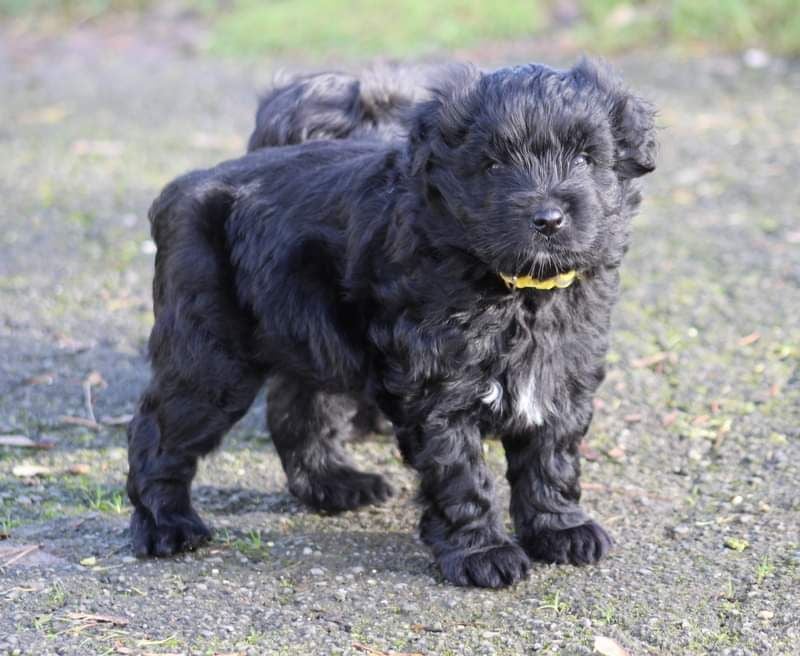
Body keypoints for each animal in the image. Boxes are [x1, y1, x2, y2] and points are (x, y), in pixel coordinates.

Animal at [128, 59, 656, 588]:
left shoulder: (561, 371)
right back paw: (165, 526)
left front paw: (560, 528)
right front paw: (481, 552)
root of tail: (184, 188)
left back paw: (334, 483)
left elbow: (551, 457)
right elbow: (461, 472)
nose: (548, 218)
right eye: (492, 165)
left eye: (586, 159)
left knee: (297, 406)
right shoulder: (437, 385)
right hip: (211, 354)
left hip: (312, 333)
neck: (515, 289)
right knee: (158, 428)